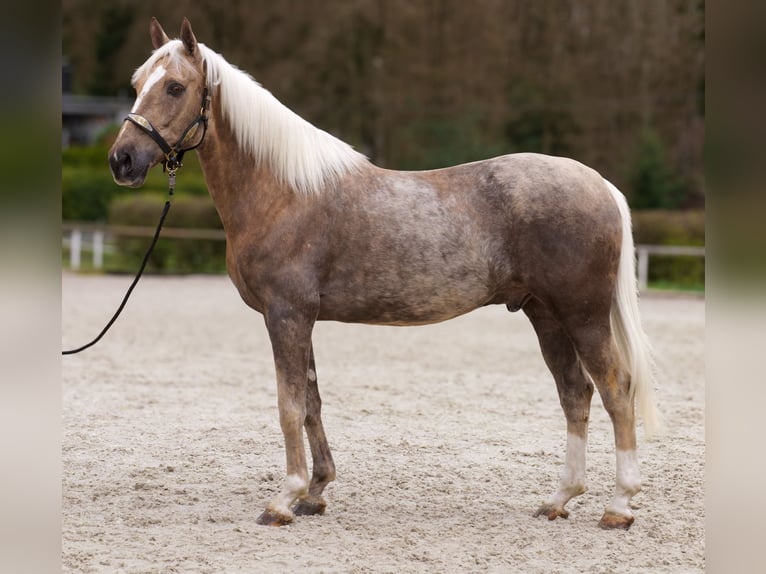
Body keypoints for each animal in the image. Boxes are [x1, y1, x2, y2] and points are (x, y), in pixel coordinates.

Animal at [109, 17, 659, 530]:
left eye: (175, 87)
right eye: (136, 82)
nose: (122, 159)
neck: (283, 192)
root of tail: (601, 184)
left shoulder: (286, 315)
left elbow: (289, 406)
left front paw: (283, 500)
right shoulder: (301, 319)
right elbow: (311, 402)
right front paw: (315, 492)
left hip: (582, 316)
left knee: (615, 390)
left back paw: (618, 506)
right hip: (544, 315)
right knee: (575, 393)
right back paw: (559, 499)